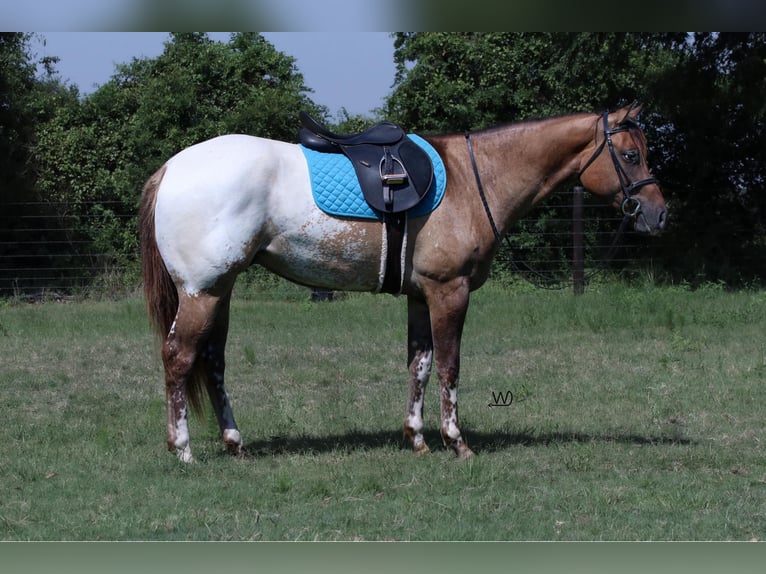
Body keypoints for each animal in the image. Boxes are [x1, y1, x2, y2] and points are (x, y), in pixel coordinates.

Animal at [141, 102, 668, 464]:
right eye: (630, 155)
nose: (659, 214)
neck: (473, 178)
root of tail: (171, 168)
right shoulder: (449, 291)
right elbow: (451, 366)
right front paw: (457, 442)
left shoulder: (421, 295)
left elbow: (420, 364)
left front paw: (416, 437)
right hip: (203, 292)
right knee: (179, 357)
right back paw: (183, 448)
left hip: (220, 291)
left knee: (212, 362)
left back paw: (234, 442)